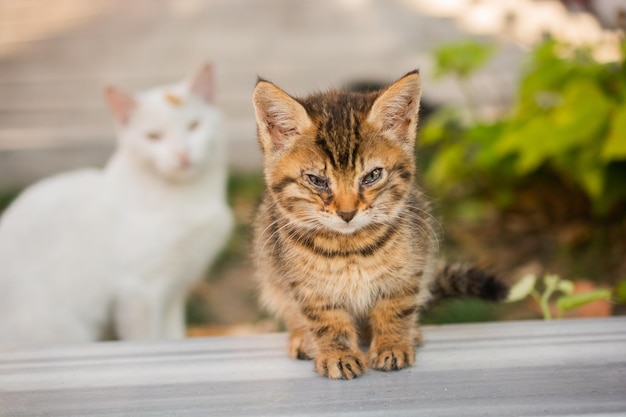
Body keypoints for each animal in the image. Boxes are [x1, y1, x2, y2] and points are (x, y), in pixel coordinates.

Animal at [0, 63, 233, 346]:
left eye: (194, 126)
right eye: (153, 136)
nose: (182, 154)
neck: (188, 198)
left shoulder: (174, 290)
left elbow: (172, 335)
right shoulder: (138, 292)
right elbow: (148, 339)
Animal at [251, 70, 504, 378]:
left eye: (372, 176)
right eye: (317, 180)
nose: (347, 213)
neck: (350, 249)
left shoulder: (409, 269)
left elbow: (396, 307)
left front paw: (392, 345)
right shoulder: (306, 286)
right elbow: (325, 320)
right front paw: (338, 354)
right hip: (271, 275)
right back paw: (302, 338)